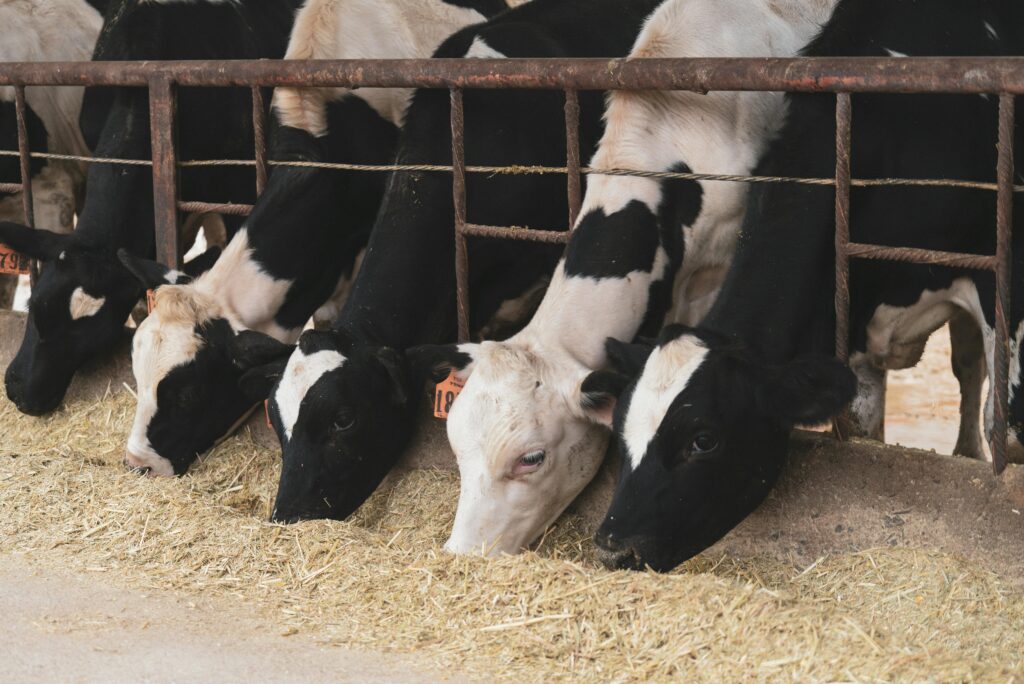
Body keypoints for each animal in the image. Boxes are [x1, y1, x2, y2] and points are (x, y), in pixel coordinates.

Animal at [589, 0, 1024, 573]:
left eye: (704, 440)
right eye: (620, 431)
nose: (614, 544)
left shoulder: (1000, 276)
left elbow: (1007, 421)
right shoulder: (852, 311)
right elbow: (864, 426)